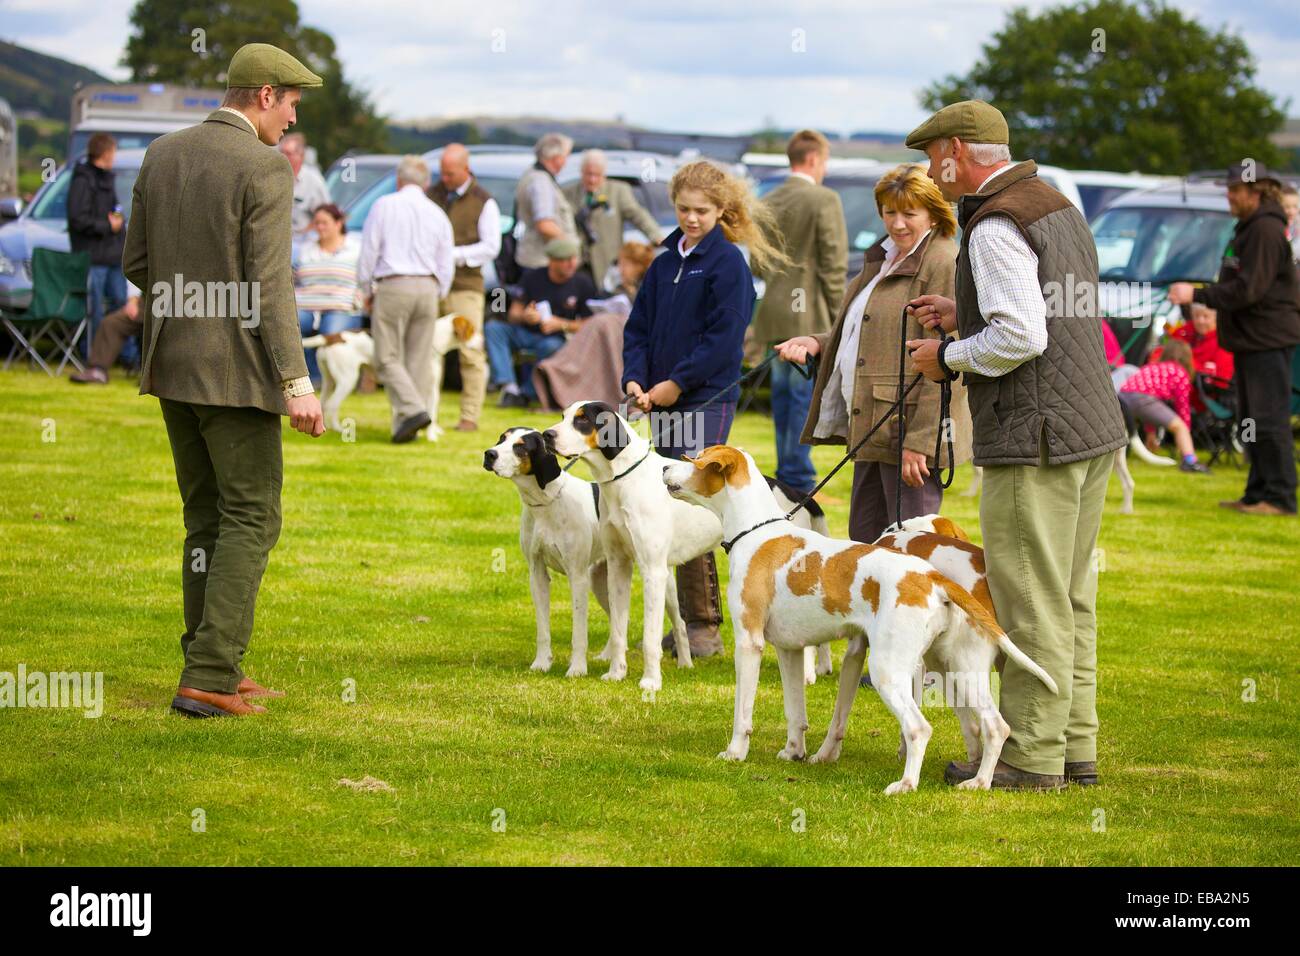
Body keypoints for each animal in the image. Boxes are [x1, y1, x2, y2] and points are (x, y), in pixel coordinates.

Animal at [304, 316, 483, 439]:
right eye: (472, 330)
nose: (483, 342)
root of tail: (332, 336)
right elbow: (428, 413)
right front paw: (430, 436)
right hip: (347, 380)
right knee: (332, 405)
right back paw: (338, 429)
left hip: (329, 382)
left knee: (322, 403)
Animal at [486, 429, 611, 676]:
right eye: (502, 438)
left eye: (520, 447)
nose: (489, 454)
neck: (547, 503)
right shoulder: (537, 575)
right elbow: (542, 629)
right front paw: (542, 662)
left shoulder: (577, 578)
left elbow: (579, 632)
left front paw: (577, 668)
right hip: (603, 582)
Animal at [660, 447, 1055, 790]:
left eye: (695, 459)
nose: (663, 467)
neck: (757, 531)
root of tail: (930, 577)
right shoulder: (790, 651)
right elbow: (795, 712)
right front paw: (793, 752)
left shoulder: (749, 643)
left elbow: (742, 713)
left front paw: (735, 752)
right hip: (959, 668)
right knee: (993, 727)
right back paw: (979, 782)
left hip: (889, 670)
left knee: (919, 729)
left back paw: (906, 785)